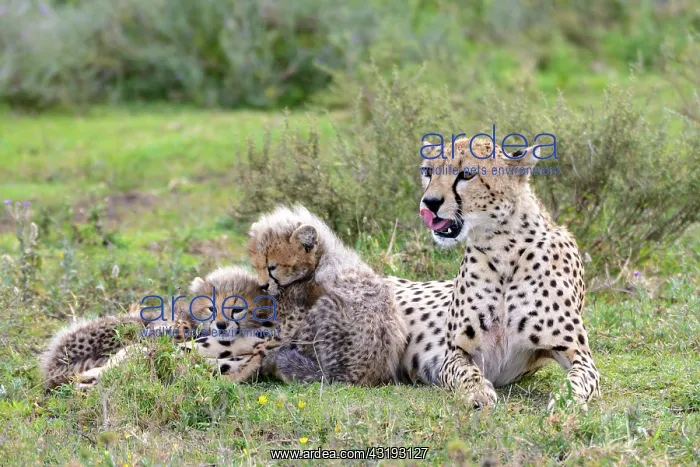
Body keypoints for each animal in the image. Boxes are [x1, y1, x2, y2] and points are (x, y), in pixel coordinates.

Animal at [419, 137, 600, 409]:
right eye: (427, 172)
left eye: (467, 174)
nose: (429, 202)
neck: (503, 248)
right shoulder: (456, 353)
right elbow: (466, 373)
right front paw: (478, 393)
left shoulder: (578, 352)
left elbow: (577, 378)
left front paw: (565, 400)